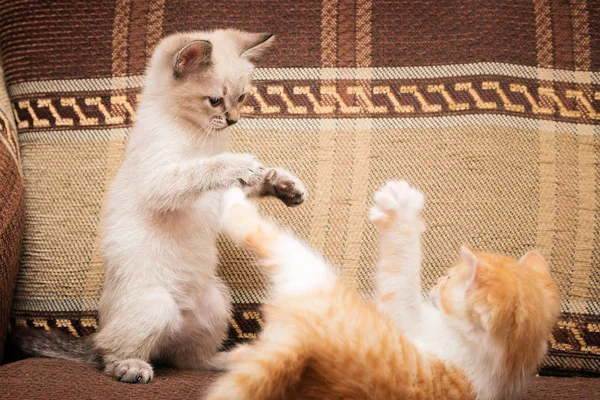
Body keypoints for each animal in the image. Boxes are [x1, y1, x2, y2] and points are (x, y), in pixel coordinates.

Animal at [13, 29, 304, 382]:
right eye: (215, 101)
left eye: (243, 98)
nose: (233, 121)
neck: (199, 133)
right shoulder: (161, 180)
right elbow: (206, 168)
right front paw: (241, 164)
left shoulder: (218, 198)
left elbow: (250, 180)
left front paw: (283, 185)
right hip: (156, 306)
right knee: (110, 352)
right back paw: (131, 367)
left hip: (216, 304)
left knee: (186, 359)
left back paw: (228, 360)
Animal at [206, 182, 564, 400]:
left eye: (449, 278)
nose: (437, 283)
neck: (506, 361)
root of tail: (304, 344)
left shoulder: (410, 321)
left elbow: (400, 274)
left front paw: (401, 212)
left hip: (306, 269)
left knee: (252, 230)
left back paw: (231, 195)